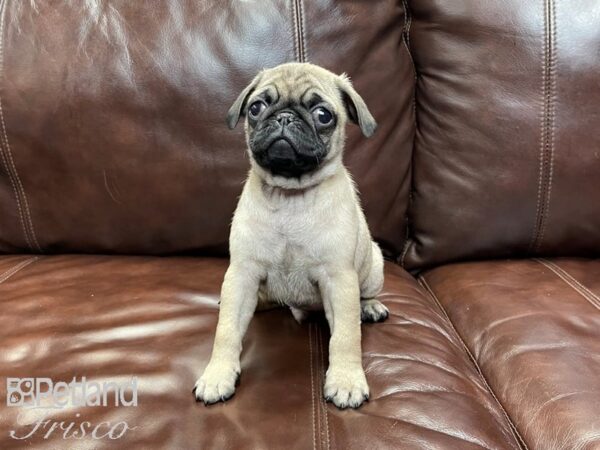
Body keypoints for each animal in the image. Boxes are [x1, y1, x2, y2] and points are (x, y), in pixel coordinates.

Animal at [193, 61, 390, 410]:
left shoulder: (340, 280)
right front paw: (218, 375)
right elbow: (226, 330)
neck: (290, 197)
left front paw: (346, 380)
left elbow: (346, 336)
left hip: (373, 266)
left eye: (323, 115)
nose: (284, 117)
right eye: (256, 108)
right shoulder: (242, 274)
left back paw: (370, 307)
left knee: (365, 296)